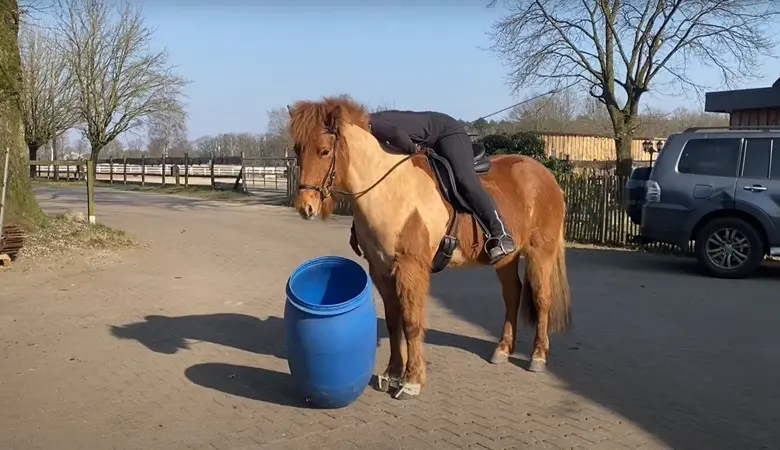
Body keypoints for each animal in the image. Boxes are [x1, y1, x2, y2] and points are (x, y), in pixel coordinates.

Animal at [287, 95, 571, 400]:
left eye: (324, 151)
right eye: (298, 149)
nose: (306, 207)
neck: (388, 189)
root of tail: (545, 175)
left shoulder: (411, 268)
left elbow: (411, 323)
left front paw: (411, 380)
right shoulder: (380, 269)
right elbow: (393, 321)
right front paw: (392, 373)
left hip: (540, 252)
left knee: (542, 298)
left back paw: (538, 356)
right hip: (507, 259)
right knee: (512, 295)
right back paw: (503, 349)